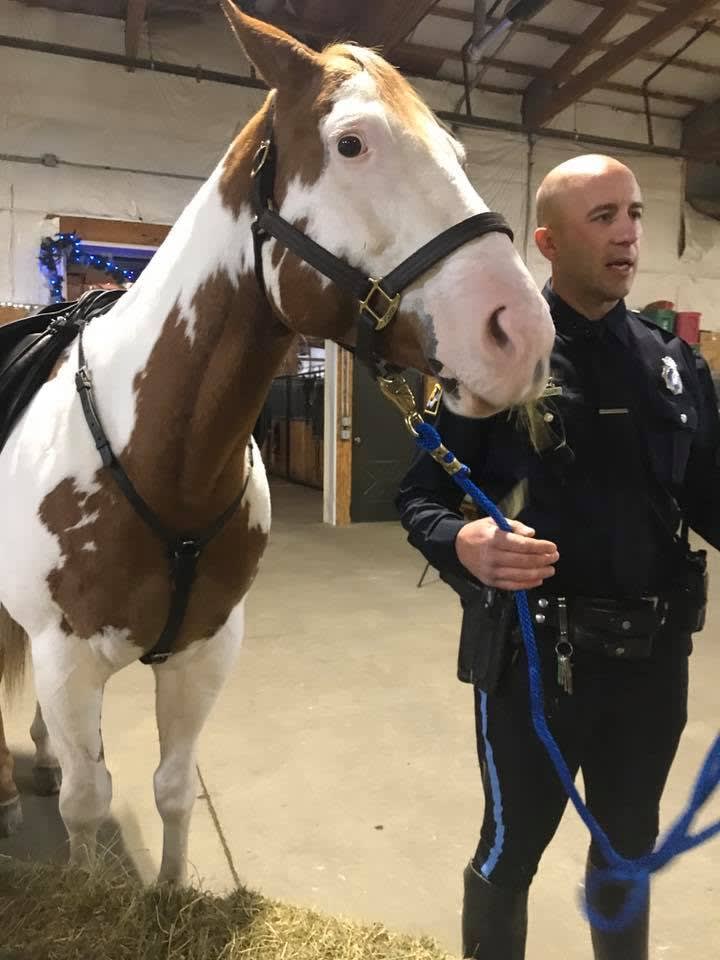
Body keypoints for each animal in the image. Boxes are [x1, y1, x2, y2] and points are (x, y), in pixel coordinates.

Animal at [0, 1, 554, 884]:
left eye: (459, 153)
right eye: (352, 142)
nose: (523, 334)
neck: (161, 453)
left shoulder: (204, 652)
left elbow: (172, 790)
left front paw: (170, 892)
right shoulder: (70, 660)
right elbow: (91, 805)